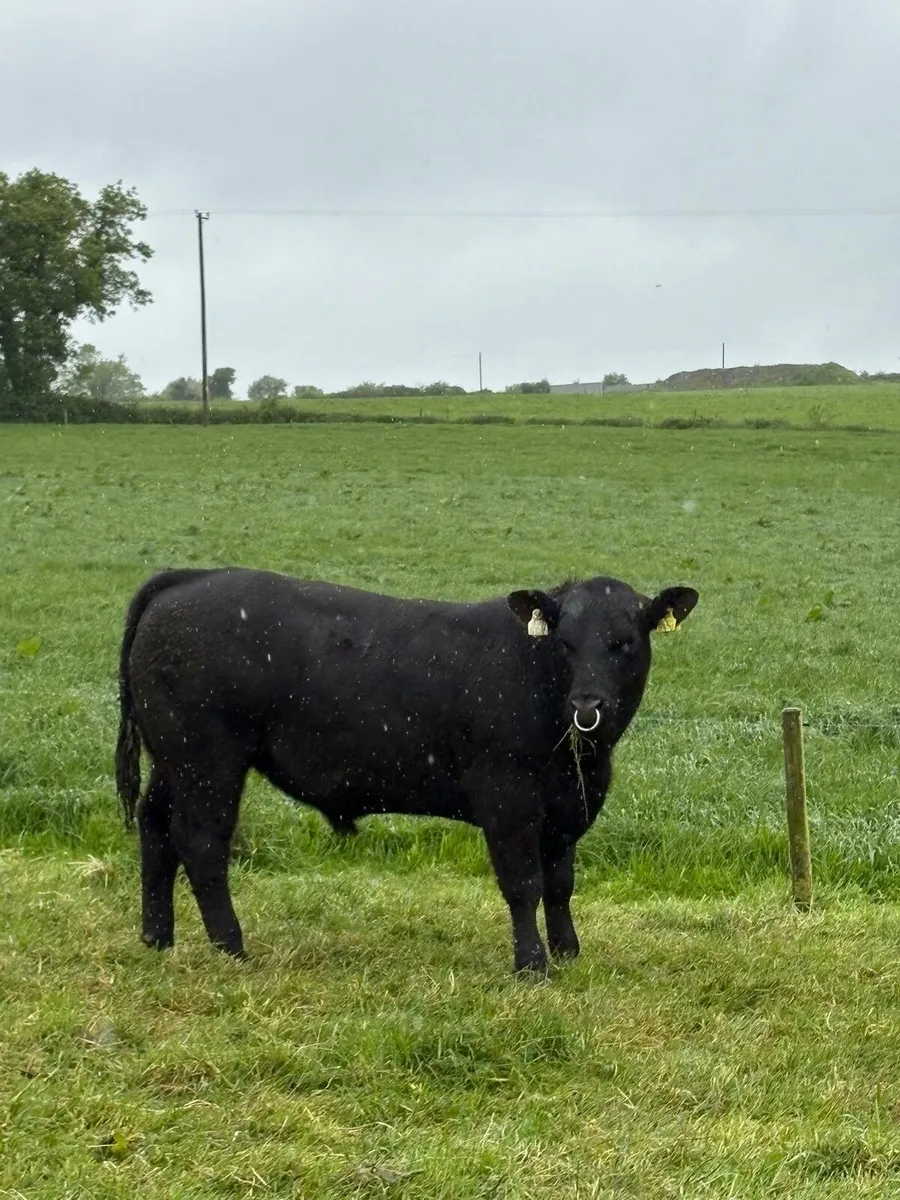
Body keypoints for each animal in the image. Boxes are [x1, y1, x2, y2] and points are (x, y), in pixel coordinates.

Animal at [116, 568, 698, 974]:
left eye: (625, 642)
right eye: (565, 641)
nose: (588, 703)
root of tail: (189, 577)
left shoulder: (566, 809)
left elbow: (559, 884)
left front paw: (568, 952)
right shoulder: (506, 798)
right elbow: (524, 883)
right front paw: (532, 965)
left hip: (172, 761)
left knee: (154, 827)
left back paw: (157, 938)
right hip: (207, 760)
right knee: (201, 843)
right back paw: (231, 946)